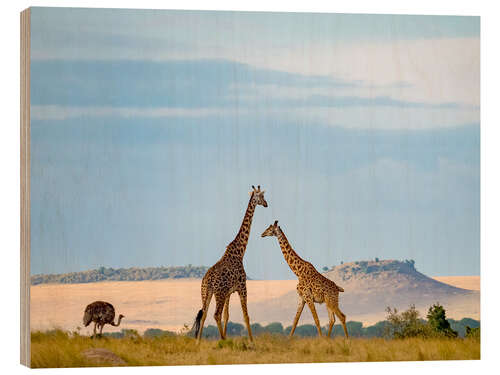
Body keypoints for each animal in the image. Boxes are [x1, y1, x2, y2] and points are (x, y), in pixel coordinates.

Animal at [193, 187, 268, 342]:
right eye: (262, 196)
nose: (266, 204)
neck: (239, 252)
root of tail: (207, 280)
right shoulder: (242, 287)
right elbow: (246, 316)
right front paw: (252, 341)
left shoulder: (229, 292)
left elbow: (227, 316)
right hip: (219, 293)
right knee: (215, 314)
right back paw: (222, 340)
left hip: (206, 293)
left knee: (204, 314)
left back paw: (198, 342)